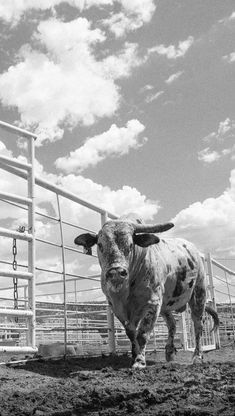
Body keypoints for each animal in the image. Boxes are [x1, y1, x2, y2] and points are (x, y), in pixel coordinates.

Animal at [74, 214, 219, 368]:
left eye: (131, 245)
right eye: (100, 245)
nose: (116, 272)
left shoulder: (152, 303)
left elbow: (142, 334)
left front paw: (139, 361)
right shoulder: (117, 307)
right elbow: (131, 333)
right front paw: (134, 355)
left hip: (198, 294)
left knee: (198, 325)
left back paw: (197, 356)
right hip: (165, 305)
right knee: (172, 324)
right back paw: (169, 352)